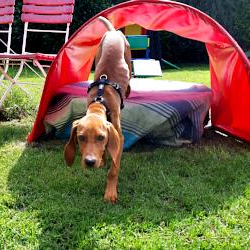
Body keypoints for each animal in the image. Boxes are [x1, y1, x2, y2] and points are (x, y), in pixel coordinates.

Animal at [63, 16, 132, 203]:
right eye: (80, 138)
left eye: (101, 137)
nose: (90, 162)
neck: (99, 102)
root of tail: (113, 32)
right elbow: (109, 151)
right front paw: (104, 160)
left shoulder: (119, 136)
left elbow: (113, 169)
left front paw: (110, 192)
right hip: (99, 53)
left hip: (128, 54)